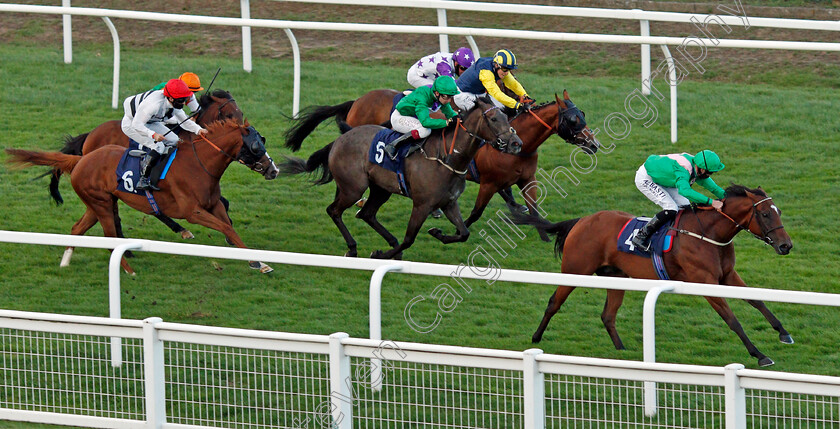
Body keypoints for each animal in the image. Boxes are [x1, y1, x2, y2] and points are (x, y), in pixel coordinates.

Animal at [278, 95, 520, 260]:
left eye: (506, 117)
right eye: (493, 119)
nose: (516, 143)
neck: (448, 158)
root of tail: (340, 139)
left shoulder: (449, 203)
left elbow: (464, 233)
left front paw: (437, 232)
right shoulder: (422, 204)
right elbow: (409, 239)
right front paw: (381, 253)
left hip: (380, 189)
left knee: (366, 214)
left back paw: (387, 241)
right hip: (353, 188)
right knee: (334, 211)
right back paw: (353, 248)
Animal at [520, 183, 796, 364]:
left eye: (779, 211)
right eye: (764, 213)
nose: (786, 245)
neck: (708, 234)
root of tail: (582, 220)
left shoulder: (727, 275)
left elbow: (756, 300)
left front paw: (783, 333)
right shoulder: (705, 281)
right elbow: (732, 319)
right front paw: (760, 355)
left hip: (616, 277)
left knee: (608, 315)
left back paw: (623, 353)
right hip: (575, 270)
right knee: (554, 302)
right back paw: (535, 338)